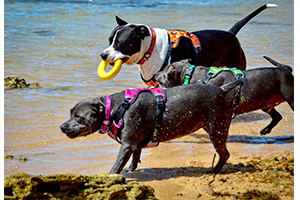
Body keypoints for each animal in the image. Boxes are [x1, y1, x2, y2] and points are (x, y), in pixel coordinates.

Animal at [60, 79, 244, 173]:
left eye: (78, 117)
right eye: (70, 113)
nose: (62, 127)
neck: (116, 109)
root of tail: (222, 89)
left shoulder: (127, 144)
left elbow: (116, 166)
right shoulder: (135, 143)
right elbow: (135, 158)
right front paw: (131, 169)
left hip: (216, 130)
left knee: (225, 154)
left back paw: (214, 171)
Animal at [156, 55, 294, 134]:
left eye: (164, 72)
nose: (156, 73)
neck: (189, 74)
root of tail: (286, 70)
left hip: (291, 98)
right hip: (265, 103)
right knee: (277, 117)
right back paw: (265, 130)